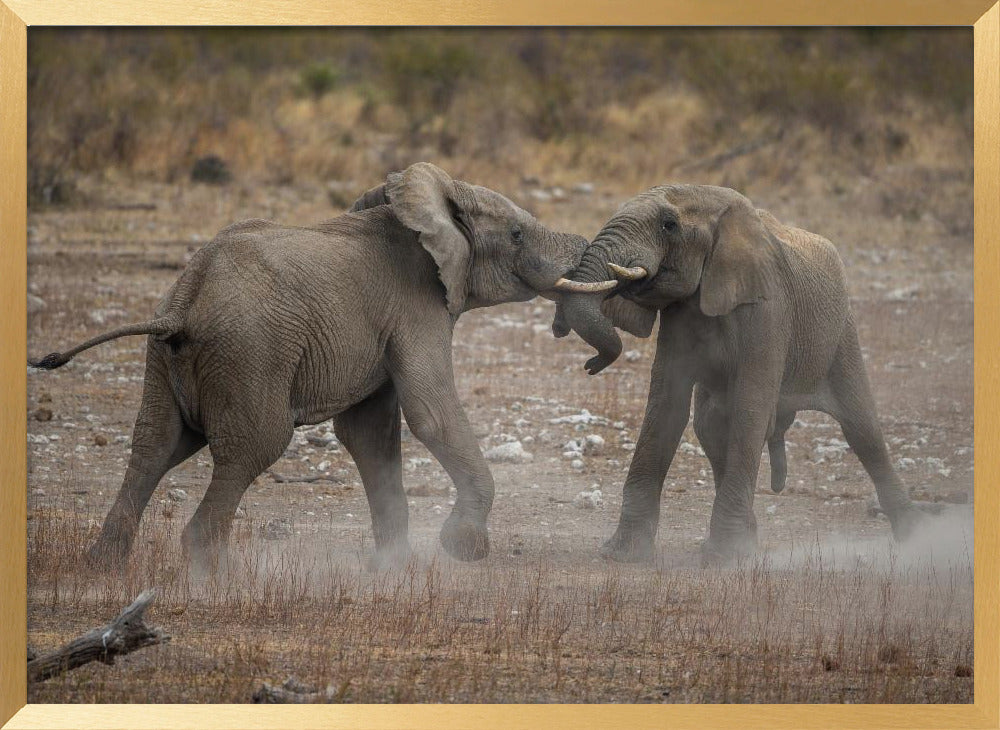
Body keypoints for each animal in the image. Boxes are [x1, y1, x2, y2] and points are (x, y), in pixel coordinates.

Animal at [29, 161, 592, 568]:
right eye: (516, 234)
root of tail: (186, 300)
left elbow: (370, 434)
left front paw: (396, 568)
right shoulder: (418, 306)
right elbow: (430, 414)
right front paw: (463, 549)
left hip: (165, 362)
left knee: (155, 446)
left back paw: (104, 566)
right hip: (250, 354)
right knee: (253, 446)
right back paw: (218, 574)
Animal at [556, 183, 920, 564]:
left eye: (669, 225)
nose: (591, 364)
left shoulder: (769, 311)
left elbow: (751, 409)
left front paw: (723, 558)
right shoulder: (679, 316)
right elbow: (666, 408)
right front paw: (622, 554)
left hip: (842, 335)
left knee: (862, 429)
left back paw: (916, 539)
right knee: (711, 426)